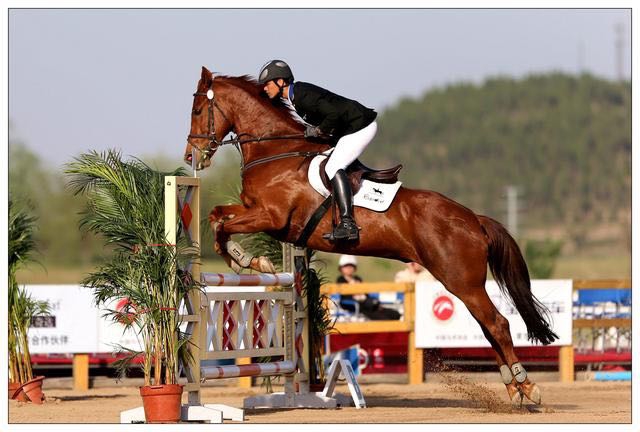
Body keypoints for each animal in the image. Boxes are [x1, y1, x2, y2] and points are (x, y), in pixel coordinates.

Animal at [184, 66, 558, 406]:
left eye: (198, 111)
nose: (191, 156)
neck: (275, 152)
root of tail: (474, 219)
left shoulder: (271, 217)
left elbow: (223, 225)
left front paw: (249, 259)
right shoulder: (256, 211)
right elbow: (217, 216)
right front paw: (246, 259)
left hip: (461, 280)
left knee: (497, 324)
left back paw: (527, 387)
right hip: (463, 283)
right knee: (487, 327)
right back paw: (512, 388)